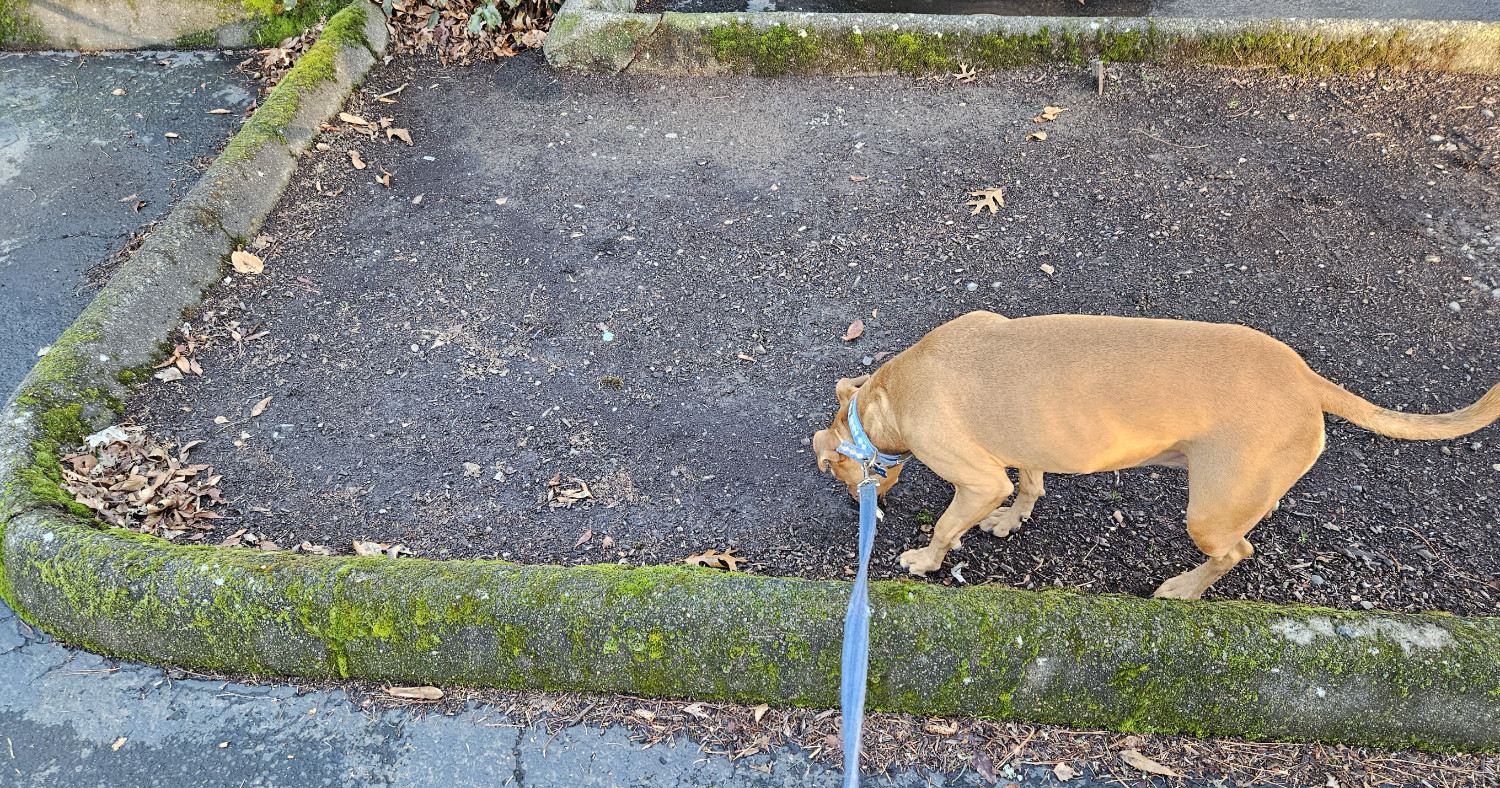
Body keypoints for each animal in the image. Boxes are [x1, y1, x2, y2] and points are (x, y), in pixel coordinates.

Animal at [822, 312, 1500, 597]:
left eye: (835, 470)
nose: (855, 503)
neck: (890, 394)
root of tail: (1307, 380)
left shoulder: (977, 477)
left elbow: (946, 525)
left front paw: (924, 560)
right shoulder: (1026, 448)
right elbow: (1031, 484)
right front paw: (1012, 520)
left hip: (1212, 509)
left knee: (1236, 551)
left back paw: (1183, 589)